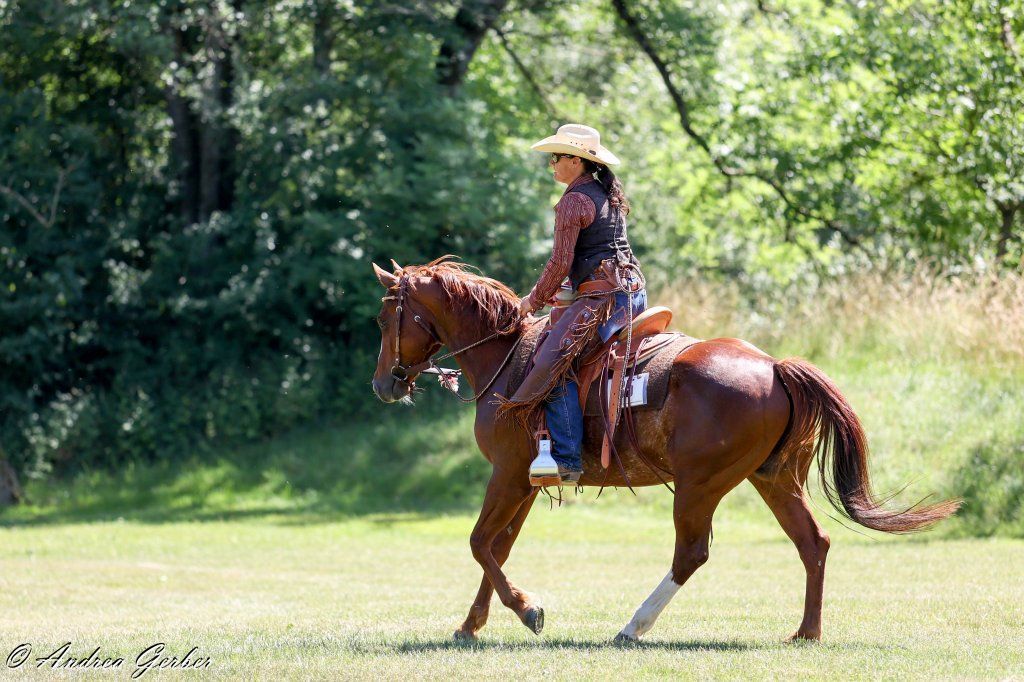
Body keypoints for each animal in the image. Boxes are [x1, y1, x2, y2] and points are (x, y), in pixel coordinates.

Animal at [370, 257, 959, 643]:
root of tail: (774, 366)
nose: (383, 385)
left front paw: (528, 610)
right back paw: (806, 632)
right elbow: (499, 548)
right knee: (813, 543)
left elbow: (479, 543)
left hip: (701, 485)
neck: (507, 359)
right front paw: (471, 625)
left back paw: (634, 626)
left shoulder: (509, 475)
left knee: (691, 553)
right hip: (774, 478)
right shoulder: (527, 484)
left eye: (383, 318)